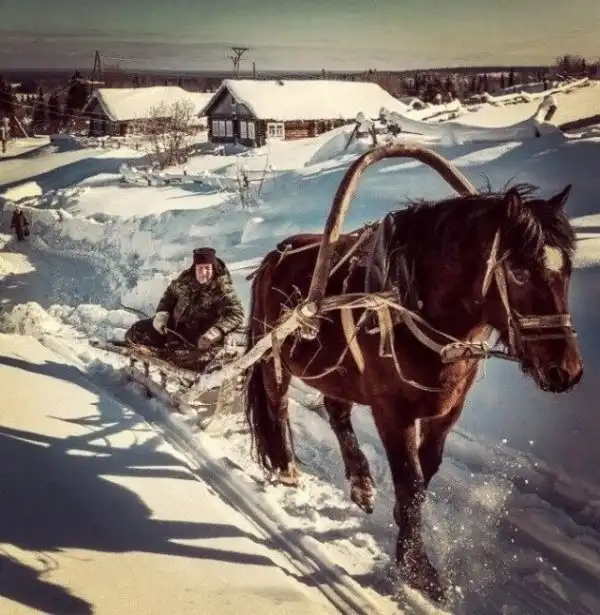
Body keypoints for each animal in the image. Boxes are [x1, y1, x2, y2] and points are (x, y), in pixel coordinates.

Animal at [243, 144, 583, 602]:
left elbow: (425, 476)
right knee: (277, 406)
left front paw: (407, 544)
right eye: (519, 271)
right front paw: (416, 568)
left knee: (336, 410)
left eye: (567, 270)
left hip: (337, 371)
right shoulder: (392, 411)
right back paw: (285, 466)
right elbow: (410, 483)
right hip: (273, 358)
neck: (411, 301)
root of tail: (274, 256)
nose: (567, 371)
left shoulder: (447, 411)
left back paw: (360, 481)